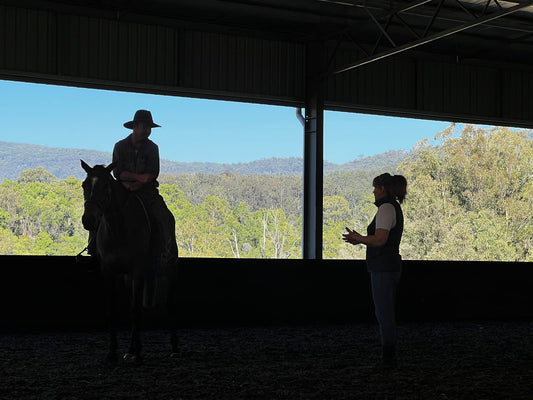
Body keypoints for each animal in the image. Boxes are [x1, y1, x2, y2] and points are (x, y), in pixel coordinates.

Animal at [79, 158, 179, 364]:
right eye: (84, 185)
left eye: (105, 186)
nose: (88, 220)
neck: (118, 229)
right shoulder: (109, 272)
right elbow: (114, 310)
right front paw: (112, 352)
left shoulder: (138, 270)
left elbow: (135, 309)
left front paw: (138, 352)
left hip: (169, 268)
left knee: (170, 304)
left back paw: (174, 347)